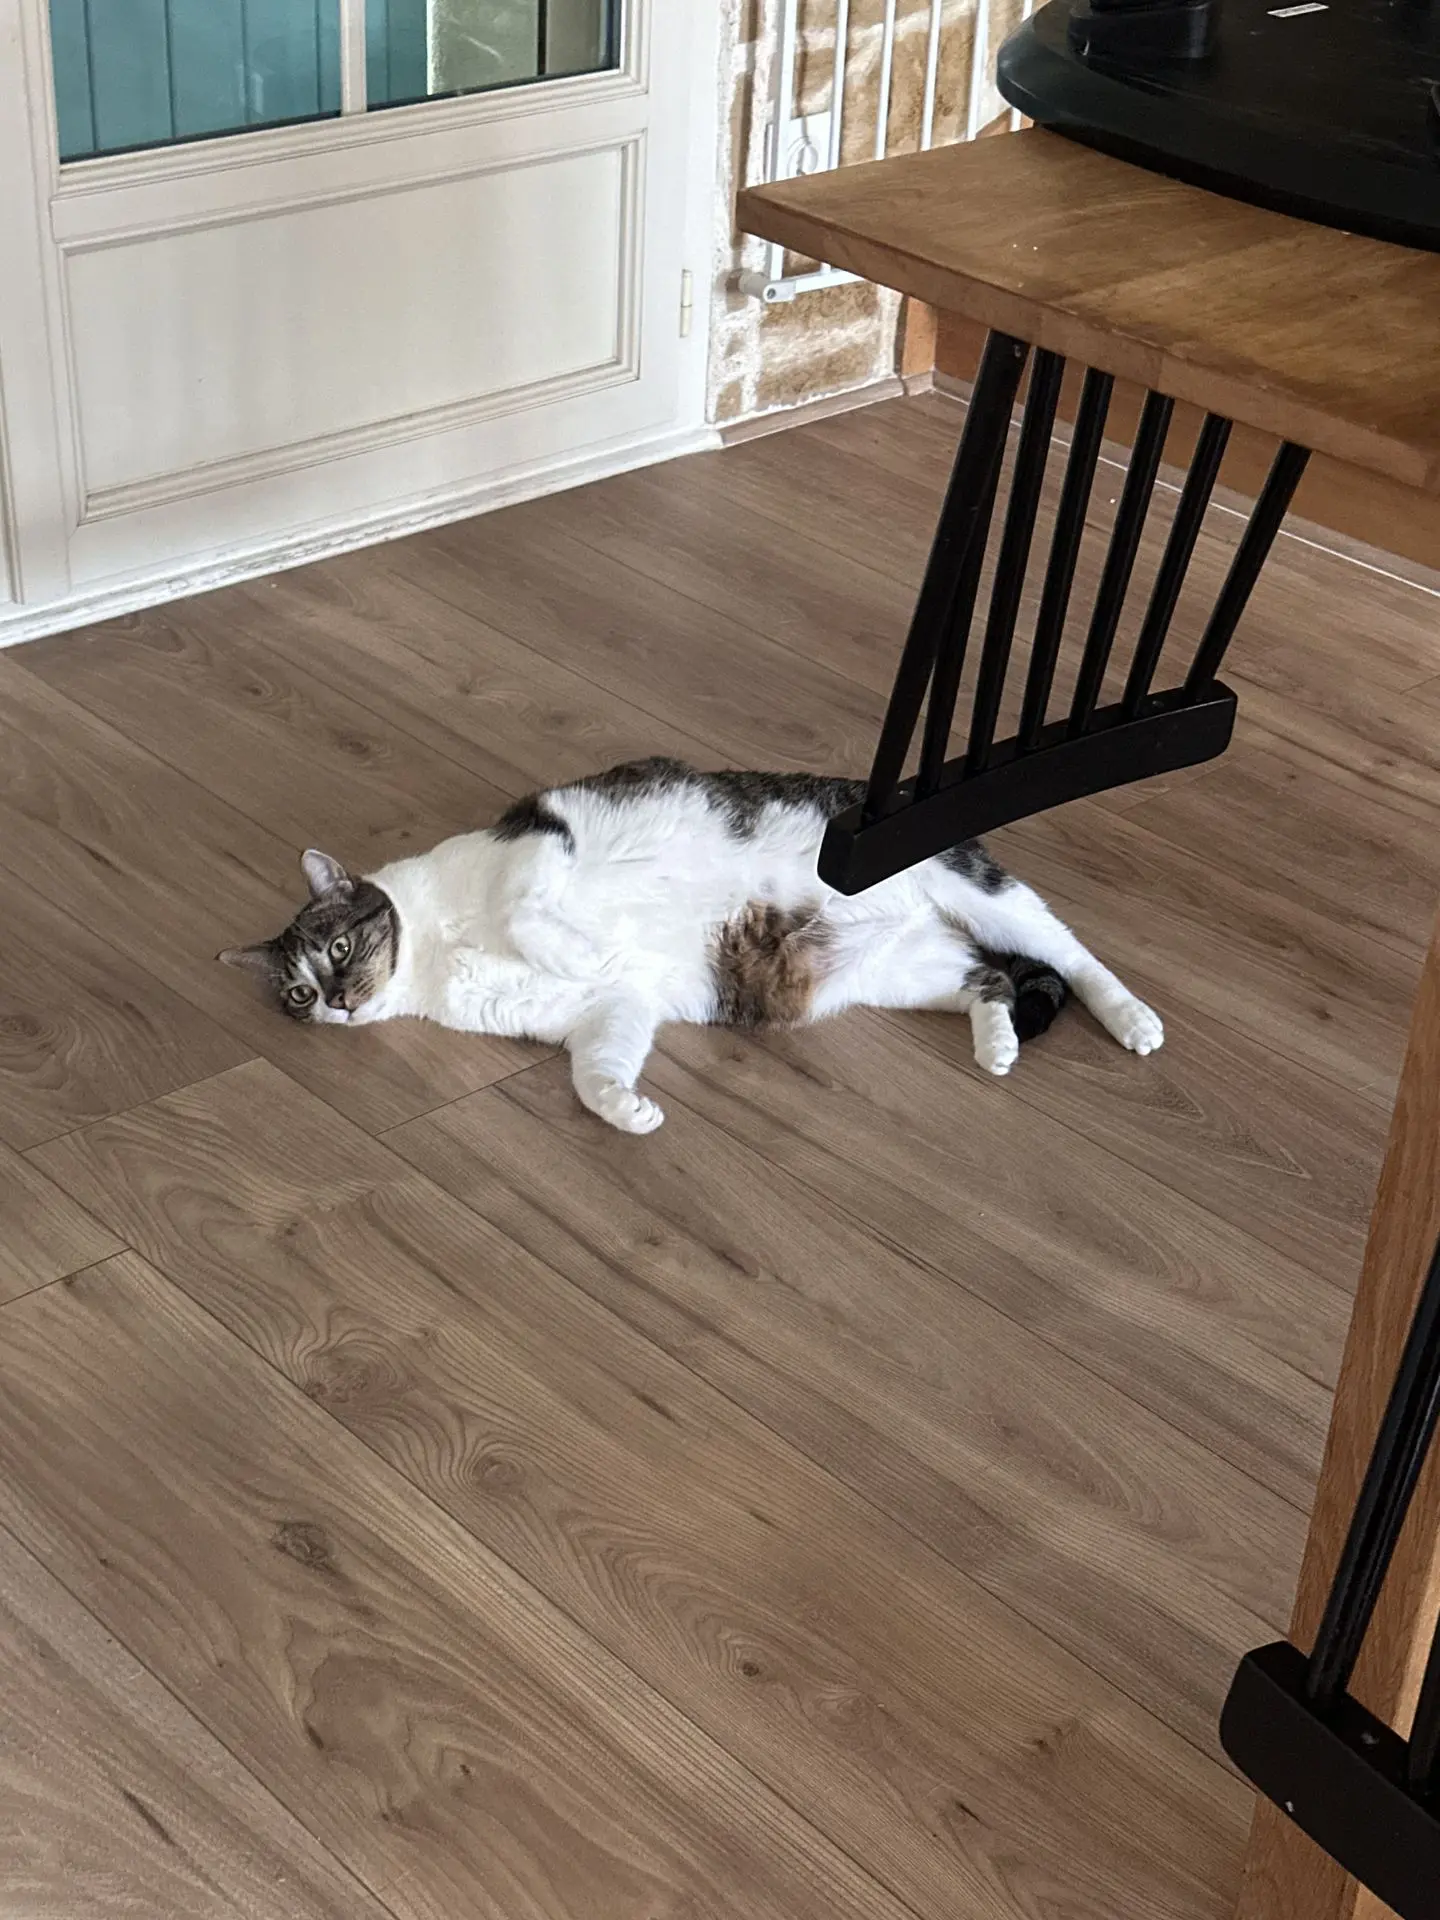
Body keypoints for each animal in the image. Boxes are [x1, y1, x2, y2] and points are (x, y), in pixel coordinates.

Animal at [218, 757, 1162, 1134]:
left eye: (340, 948)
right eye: (298, 992)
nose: (339, 1002)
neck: (436, 957)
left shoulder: (535, 844)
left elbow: (528, 915)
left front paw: (573, 947)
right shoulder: (609, 1011)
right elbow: (595, 1069)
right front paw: (626, 1111)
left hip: (980, 889)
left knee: (1068, 955)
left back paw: (1133, 1019)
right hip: (896, 970)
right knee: (985, 979)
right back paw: (996, 1042)